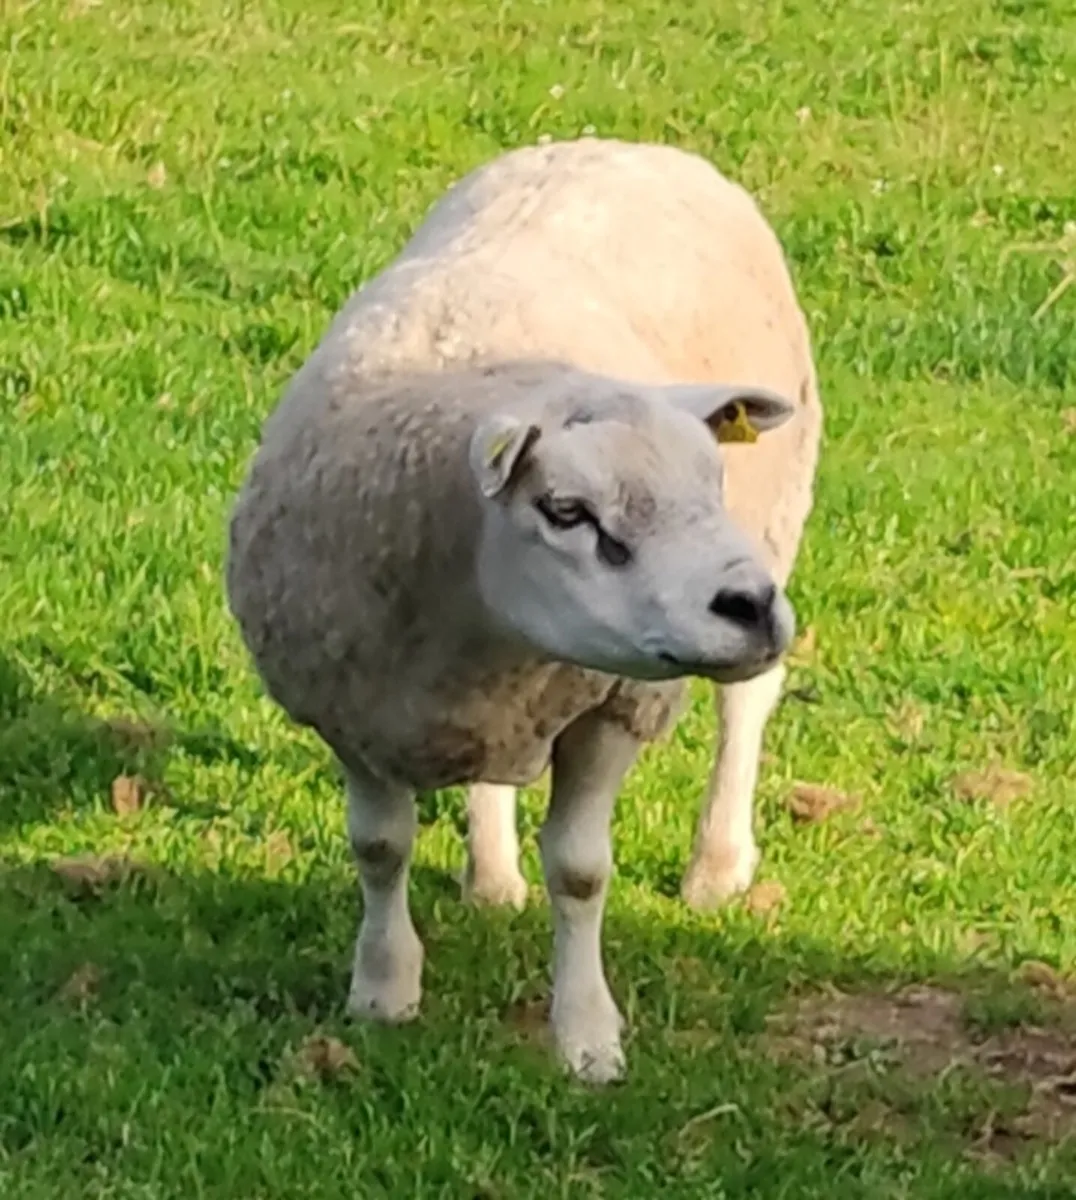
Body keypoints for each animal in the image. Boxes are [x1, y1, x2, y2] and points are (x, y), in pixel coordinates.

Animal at [226, 136, 823, 1082]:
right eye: (567, 511)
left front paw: (587, 1037)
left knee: (745, 708)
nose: (753, 607)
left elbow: (580, 872)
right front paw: (383, 991)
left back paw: (718, 865)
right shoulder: (348, 709)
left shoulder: (614, 706)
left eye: (712, 478)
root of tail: (618, 140)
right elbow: (379, 848)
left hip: (778, 521)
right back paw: (493, 877)